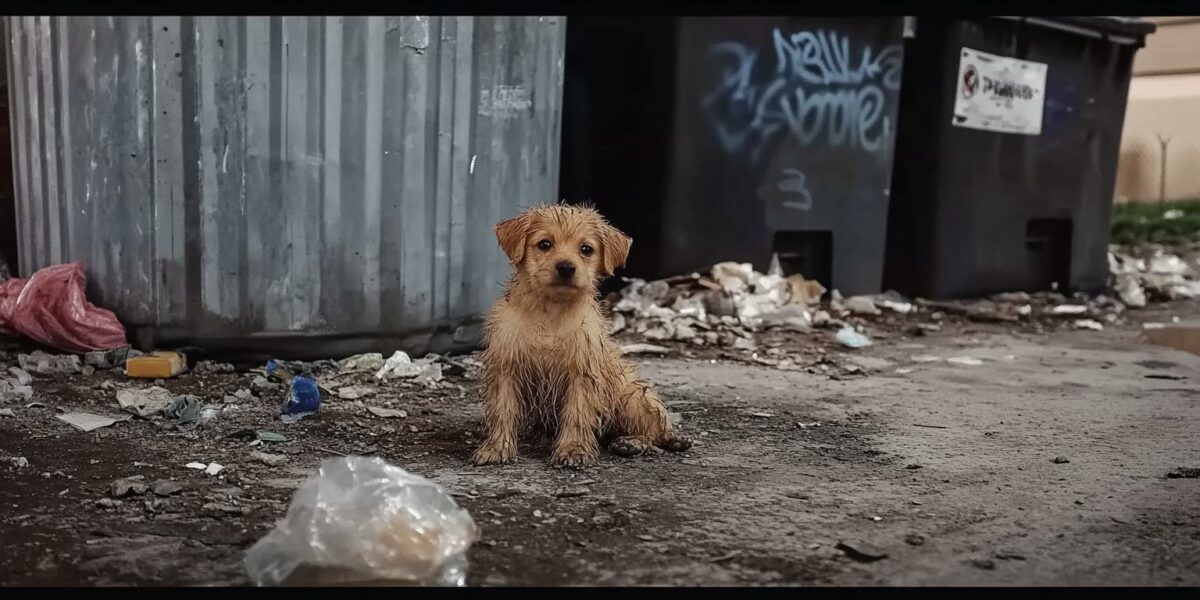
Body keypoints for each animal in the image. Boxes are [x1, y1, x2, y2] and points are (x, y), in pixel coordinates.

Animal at [470, 204, 691, 465]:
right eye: (544, 244)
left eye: (586, 249)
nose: (566, 267)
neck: (551, 312)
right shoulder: (506, 368)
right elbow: (503, 411)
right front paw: (496, 448)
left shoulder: (582, 372)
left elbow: (577, 413)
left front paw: (573, 449)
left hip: (633, 396)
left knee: (654, 432)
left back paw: (640, 442)